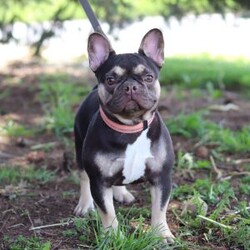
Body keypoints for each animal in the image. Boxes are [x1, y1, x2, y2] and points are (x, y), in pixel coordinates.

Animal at [74, 28, 175, 242]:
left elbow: (160, 208)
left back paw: (121, 193)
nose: (130, 86)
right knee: (83, 177)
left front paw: (161, 234)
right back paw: (85, 204)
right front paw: (112, 236)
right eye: (111, 80)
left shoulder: (161, 177)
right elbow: (107, 212)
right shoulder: (99, 181)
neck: (131, 128)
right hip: (79, 149)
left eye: (148, 77)